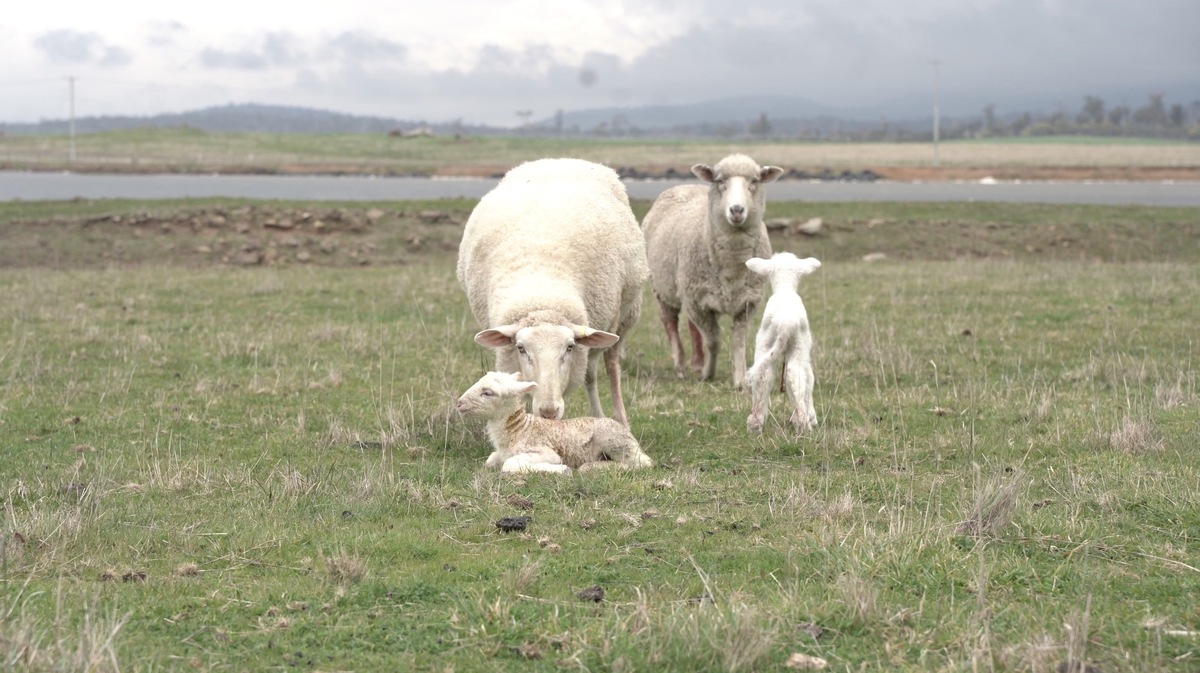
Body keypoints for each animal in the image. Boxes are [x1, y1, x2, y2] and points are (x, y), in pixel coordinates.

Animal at [451, 369, 657, 475]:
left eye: (488, 392)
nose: (459, 403)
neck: (516, 429)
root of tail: (628, 434)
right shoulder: (498, 454)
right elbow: (491, 460)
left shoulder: (545, 451)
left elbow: (509, 465)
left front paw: (561, 469)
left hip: (614, 441)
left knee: (642, 462)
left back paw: (589, 467)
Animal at [456, 157, 648, 424]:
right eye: (521, 348)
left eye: (569, 347)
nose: (548, 411)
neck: (542, 293)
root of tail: (558, 160)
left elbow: (593, 373)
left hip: (623, 314)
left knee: (606, 366)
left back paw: (615, 418)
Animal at [643, 152, 782, 388]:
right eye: (720, 181)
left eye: (754, 181)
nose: (736, 210)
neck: (733, 264)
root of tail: (684, 185)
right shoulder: (700, 303)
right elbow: (714, 340)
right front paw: (708, 374)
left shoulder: (747, 302)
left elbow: (739, 342)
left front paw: (740, 381)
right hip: (664, 288)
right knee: (670, 322)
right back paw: (681, 365)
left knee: (691, 326)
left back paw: (697, 362)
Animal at [739, 253, 825, 436]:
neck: (785, 287)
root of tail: (785, 322)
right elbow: (809, 381)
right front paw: (812, 418)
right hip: (797, 347)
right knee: (795, 377)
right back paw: (803, 424)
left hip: (765, 343)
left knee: (764, 376)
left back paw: (755, 423)